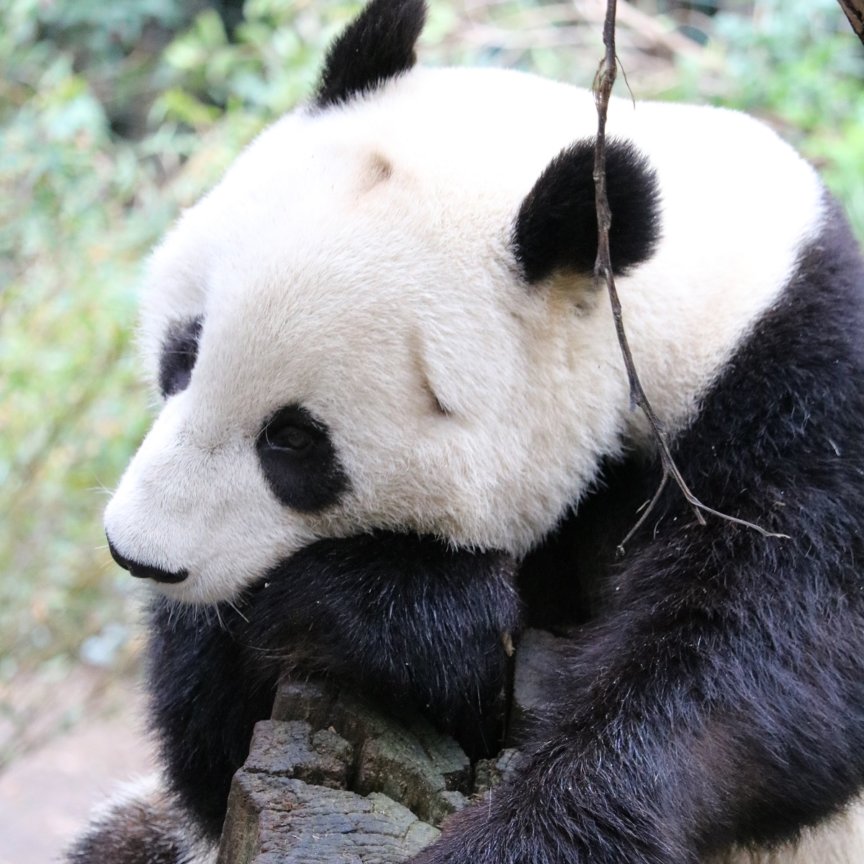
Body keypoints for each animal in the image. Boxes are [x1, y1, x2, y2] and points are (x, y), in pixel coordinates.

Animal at [71, 1, 864, 864]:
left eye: (295, 441)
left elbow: (758, 662)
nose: (138, 555)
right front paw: (413, 619)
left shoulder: (802, 400)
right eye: (182, 353)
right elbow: (208, 754)